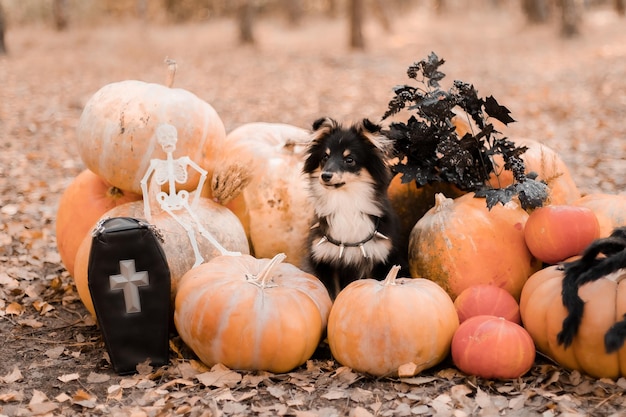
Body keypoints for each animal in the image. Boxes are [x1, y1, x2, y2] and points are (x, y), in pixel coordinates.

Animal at [302, 117, 404, 298]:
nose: (325, 176)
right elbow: (332, 295)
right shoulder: (325, 260)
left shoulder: (380, 259)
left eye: (349, 159)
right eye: (325, 157)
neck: (346, 201)